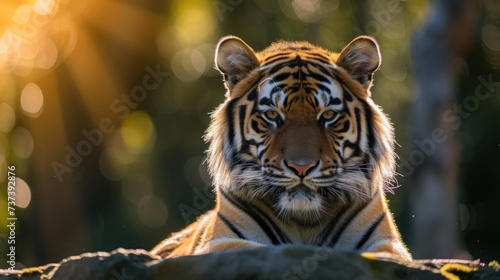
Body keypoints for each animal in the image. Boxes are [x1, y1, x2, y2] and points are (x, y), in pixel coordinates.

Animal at [150, 34, 412, 260]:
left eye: (328, 115)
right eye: (272, 115)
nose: (302, 167)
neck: (303, 222)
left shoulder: (388, 244)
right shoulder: (219, 243)